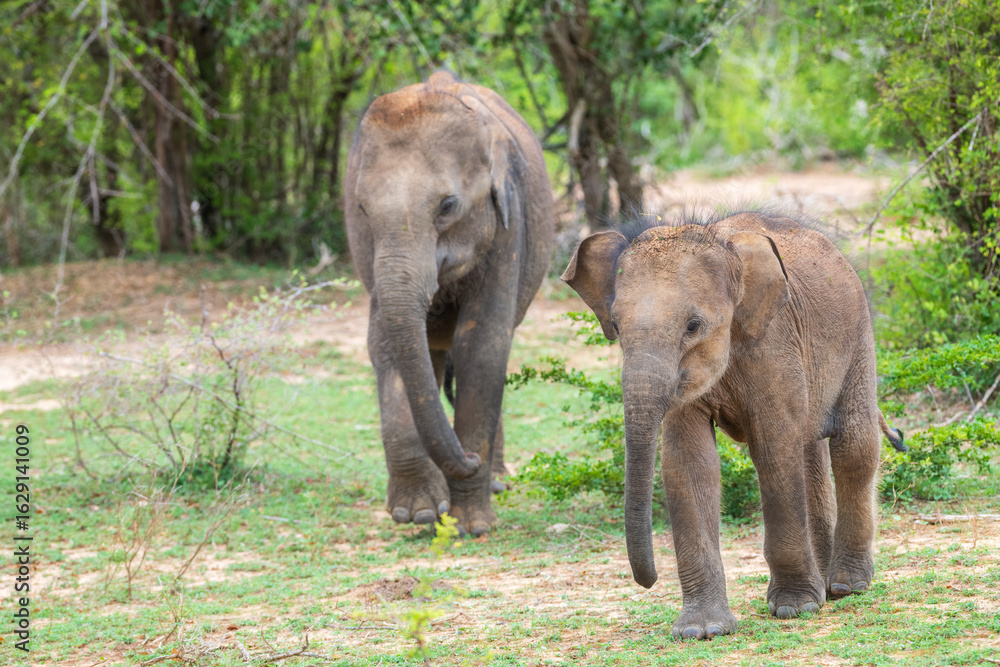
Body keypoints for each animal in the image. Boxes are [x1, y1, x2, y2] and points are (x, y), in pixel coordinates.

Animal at [344, 71, 554, 536]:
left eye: (447, 206)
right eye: (361, 208)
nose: (470, 459)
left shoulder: (508, 225)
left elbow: (482, 346)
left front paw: (471, 526)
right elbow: (385, 346)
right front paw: (419, 513)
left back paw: (495, 482)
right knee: (431, 358)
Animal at [562, 209, 905, 639]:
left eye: (693, 326)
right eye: (617, 327)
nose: (648, 581)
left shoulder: (773, 343)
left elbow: (773, 449)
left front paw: (794, 608)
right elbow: (690, 463)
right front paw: (702, 630)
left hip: (858, 335)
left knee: (852, 446)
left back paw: (846, 586)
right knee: (810, 450)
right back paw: (827, 587)